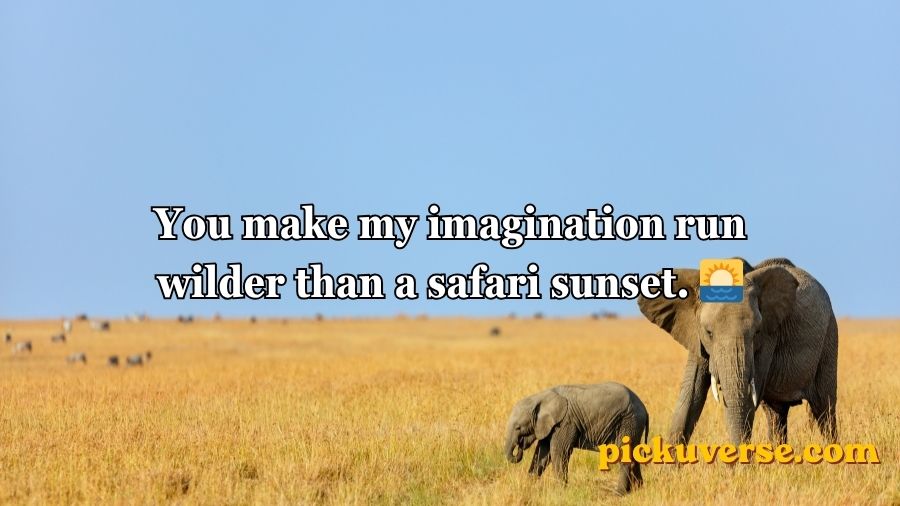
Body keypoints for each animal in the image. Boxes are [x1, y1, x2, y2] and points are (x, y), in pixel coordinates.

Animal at [504, 382, 649, 494]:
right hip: (632, 424)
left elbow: (558, 451)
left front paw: (560, 491)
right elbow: (542, 453)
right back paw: (638, 489)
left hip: (629, 421)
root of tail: (644, 409)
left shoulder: (565, 422)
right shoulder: (549, 426)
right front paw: (528, 486)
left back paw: (619, 493)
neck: (541, 397)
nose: (520, 445)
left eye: (518, 427)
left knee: (625, 454)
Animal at [638, 257, 838, 445]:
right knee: (775, 414)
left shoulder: (769, 336)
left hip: (829, 335)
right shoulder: (695, 334)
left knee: (824, 410)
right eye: (709, 332)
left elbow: (748, 397)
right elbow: (690, 396)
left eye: (756, 332)